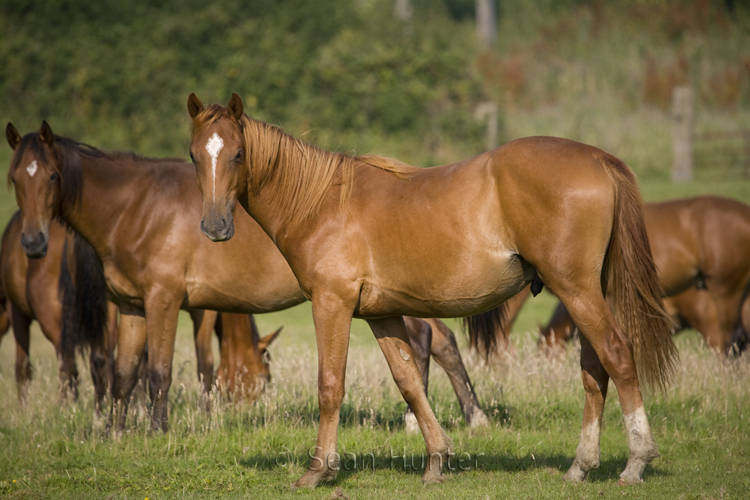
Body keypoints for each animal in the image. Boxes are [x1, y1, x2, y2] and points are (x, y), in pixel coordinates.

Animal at [4, 121, 488, 434]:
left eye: (52, 176)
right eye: (13, 179)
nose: (32, 241)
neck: (137, 206)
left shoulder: (164, 300)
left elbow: (158, 371)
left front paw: (157, 431)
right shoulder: (131, 305)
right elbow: (125, 372)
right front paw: (116, 434)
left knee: (426, 340)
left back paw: (420, 421)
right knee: (441, 341)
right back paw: (471, 415)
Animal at [187, 94, 676, 488]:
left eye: (238, 153)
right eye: (194, 156)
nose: (214, 226)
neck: (321, 202)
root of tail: (599, 159)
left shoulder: (332, 304)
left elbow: (330, 385)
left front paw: (318, 470)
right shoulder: (381, 314)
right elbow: (410, 383)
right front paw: (437, 460)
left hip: (575, 289)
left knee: (617, 355)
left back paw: (636, 461)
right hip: (585, 293)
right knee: (594, 368)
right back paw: (581, 465)